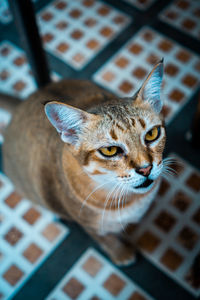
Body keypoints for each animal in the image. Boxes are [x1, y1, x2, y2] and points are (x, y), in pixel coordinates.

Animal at [2, 60, 166, 264]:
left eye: (152, 134)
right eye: (110, 150)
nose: (146, 169)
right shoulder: (90, 226)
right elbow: (106, 239)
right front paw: (120, 252)